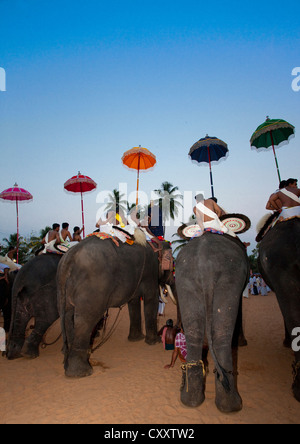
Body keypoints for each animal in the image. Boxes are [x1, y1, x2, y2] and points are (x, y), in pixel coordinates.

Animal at [56, 229, 171, 378]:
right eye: (173, 264)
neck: (155, 244)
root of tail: (68, 258)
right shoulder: (150, 272)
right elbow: (151, 298)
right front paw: (154, 342)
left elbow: (133, 301)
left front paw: (136, 339)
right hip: (93, 289)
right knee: (85, 320)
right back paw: (82, 373)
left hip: (62, 290)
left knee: (67, 317)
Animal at [175, 232, 250, 412]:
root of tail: (205, 266)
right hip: (230, 278)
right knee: (222, 335)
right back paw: (232, 406)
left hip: (185, 278)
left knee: (193, 334)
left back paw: (191, 400)